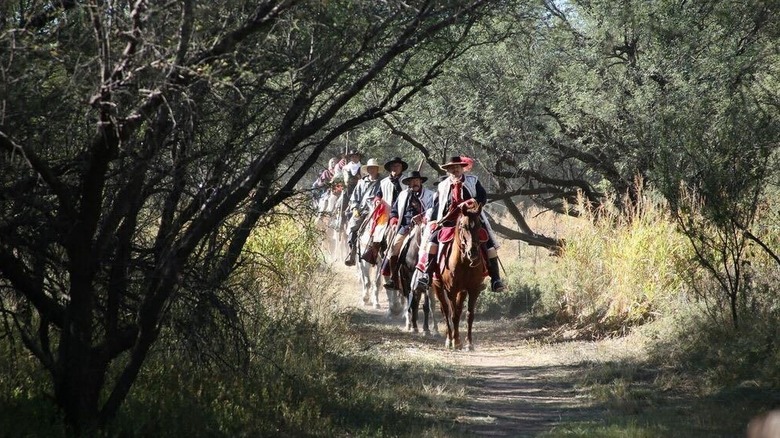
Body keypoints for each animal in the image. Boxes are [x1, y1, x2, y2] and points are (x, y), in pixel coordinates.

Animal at [430, 201, 484, 350]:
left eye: (479, 225)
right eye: (463, 226)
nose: (473, 253)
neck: (464, 262)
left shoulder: (473, 289)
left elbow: (469, 315)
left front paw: (469, 343)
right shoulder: (451, 290)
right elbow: (452, 315)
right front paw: (455, 341)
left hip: (462, 291)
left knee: (458, 311)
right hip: (437, 286)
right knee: (446, 311)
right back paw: (449, 339)